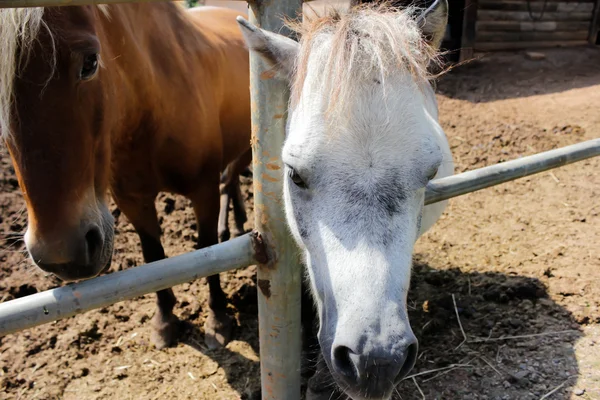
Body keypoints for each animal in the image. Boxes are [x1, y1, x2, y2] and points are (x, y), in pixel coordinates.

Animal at [0, 3, 252, 348]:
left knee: (230, 181)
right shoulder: (132, 200)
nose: (60, 256)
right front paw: (164, 321)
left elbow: (208, 249)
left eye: (91, 61)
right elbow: (153, 257)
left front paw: (218, 318)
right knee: (232, 181)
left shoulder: (203, 191)